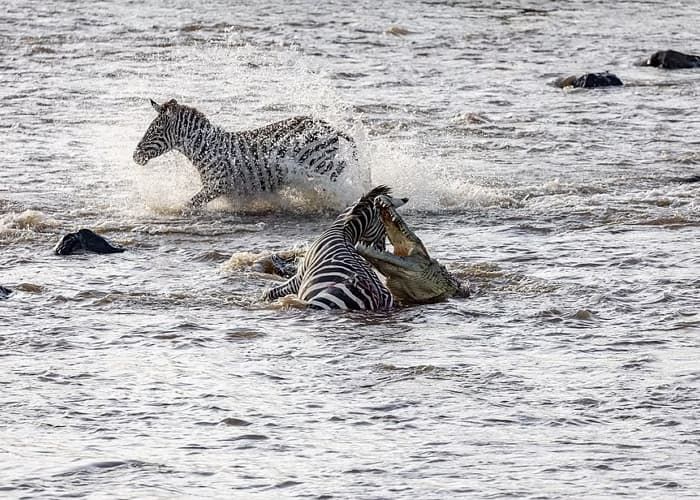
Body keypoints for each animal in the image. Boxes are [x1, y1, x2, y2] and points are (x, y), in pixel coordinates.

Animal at [133, 98, 358, 208]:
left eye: (155, 131)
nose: (135, 156)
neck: (204, 148)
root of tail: (329, 126)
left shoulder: (218, 185)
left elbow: (188, 205)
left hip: (321, 165)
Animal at [260, 186, 408, 310]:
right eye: (385, 228)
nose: (381, 249)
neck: (343, 230)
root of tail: (378, 299)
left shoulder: (299, 278)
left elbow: (272, 292)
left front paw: (262, 298)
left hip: (323, 300)